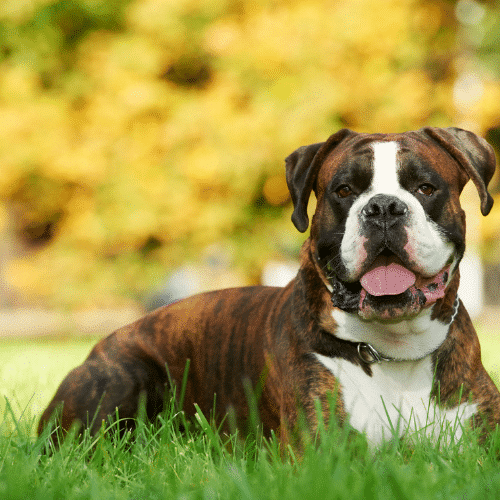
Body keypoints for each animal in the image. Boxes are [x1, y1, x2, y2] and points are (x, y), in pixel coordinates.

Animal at [38, 127, 500, 448]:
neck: (393, 350)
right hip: (120, 381)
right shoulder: (326, 451)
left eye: (426, 187)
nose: (384, 206)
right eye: (344, 190)